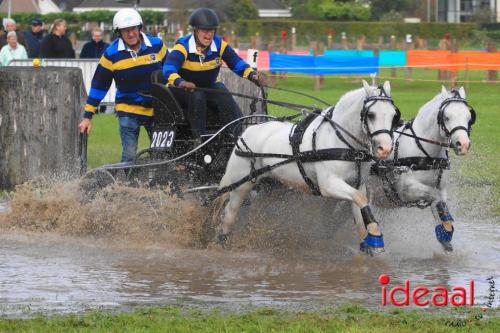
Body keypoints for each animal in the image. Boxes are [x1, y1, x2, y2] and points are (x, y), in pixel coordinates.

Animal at [214, 81, 398, 254]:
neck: (344, 144)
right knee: (228, 215)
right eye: (371, 115)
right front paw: (375, 235)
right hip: (241, 184)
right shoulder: (328, 185)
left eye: (394, 115)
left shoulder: (358, 184)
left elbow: (360, 210)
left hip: (271, 187)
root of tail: (247, 131)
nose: (385, 149)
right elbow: (360, 199)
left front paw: (368, 243)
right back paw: (221, 243)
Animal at [374, 87, 474, 250]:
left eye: (468, 116)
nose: (463, 144)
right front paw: (445, 230)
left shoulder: (441, 187)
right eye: (447, 117)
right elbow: (434, 197)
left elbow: (440, 203)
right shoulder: (406, 190)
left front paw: (445, 234)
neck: (426, 155)